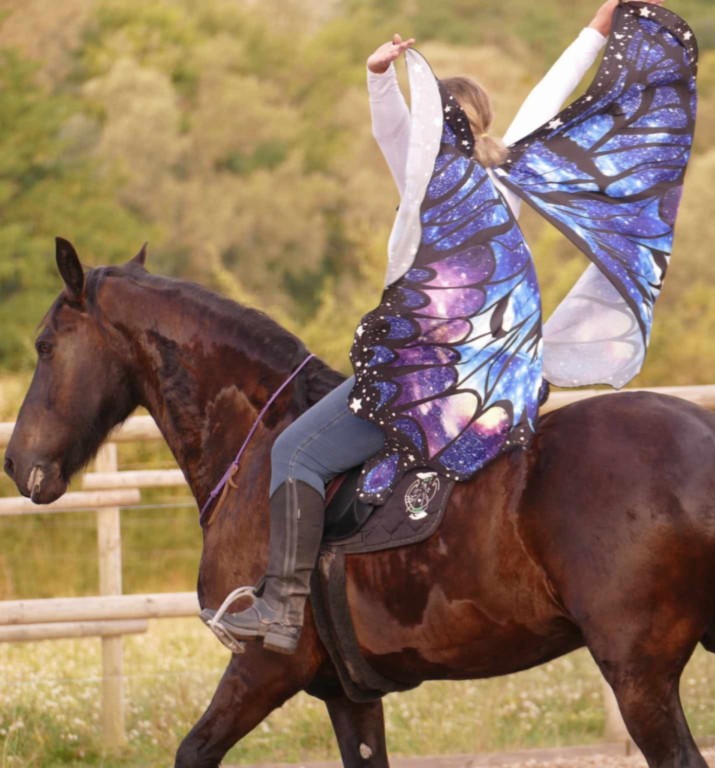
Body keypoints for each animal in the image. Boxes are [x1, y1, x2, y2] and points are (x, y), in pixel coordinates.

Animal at [5, 238, 715, 768]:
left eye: (44, 347)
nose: (16, 463)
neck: (256, 447)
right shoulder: (349, 697)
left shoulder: (262, 669)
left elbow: (193, 751)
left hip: (638, 676)